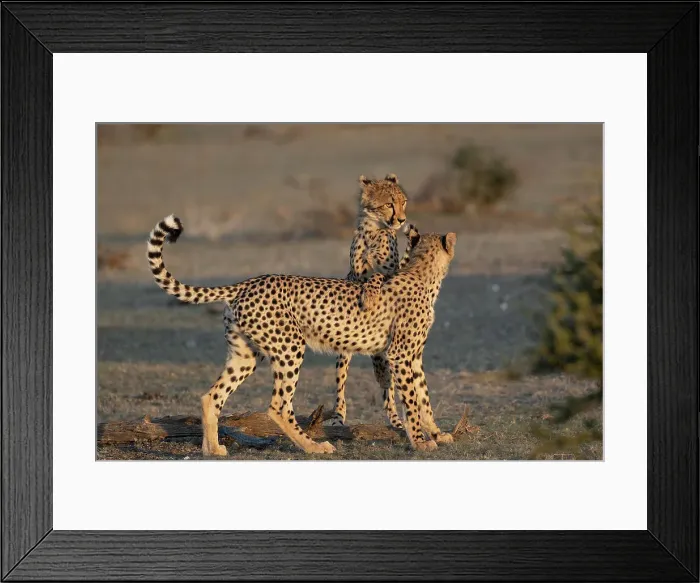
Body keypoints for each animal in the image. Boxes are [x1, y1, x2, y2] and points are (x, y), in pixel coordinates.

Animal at [146, 214, 456, 456]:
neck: (422, 273)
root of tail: (248, 282)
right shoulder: (400, 355)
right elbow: (412, 400)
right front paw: (419, 441)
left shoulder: (414, 357)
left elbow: (424, 396)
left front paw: (437, 433)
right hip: (290, 347)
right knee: (279, 407)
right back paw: (313, 446)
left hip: (245, 355)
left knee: (211, 397)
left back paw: (212, 449)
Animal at [329, 173, 409, 431]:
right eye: (389, 204)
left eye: (403, 202)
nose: (402, 220)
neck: (374, 230)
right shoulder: (355, 276)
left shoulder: (391, 273)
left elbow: (377, 275)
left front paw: (371, 296)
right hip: (344, 355)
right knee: (341, 385)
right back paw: (338, 417)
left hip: (386, 357)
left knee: (388, 389)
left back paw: (396, 420)